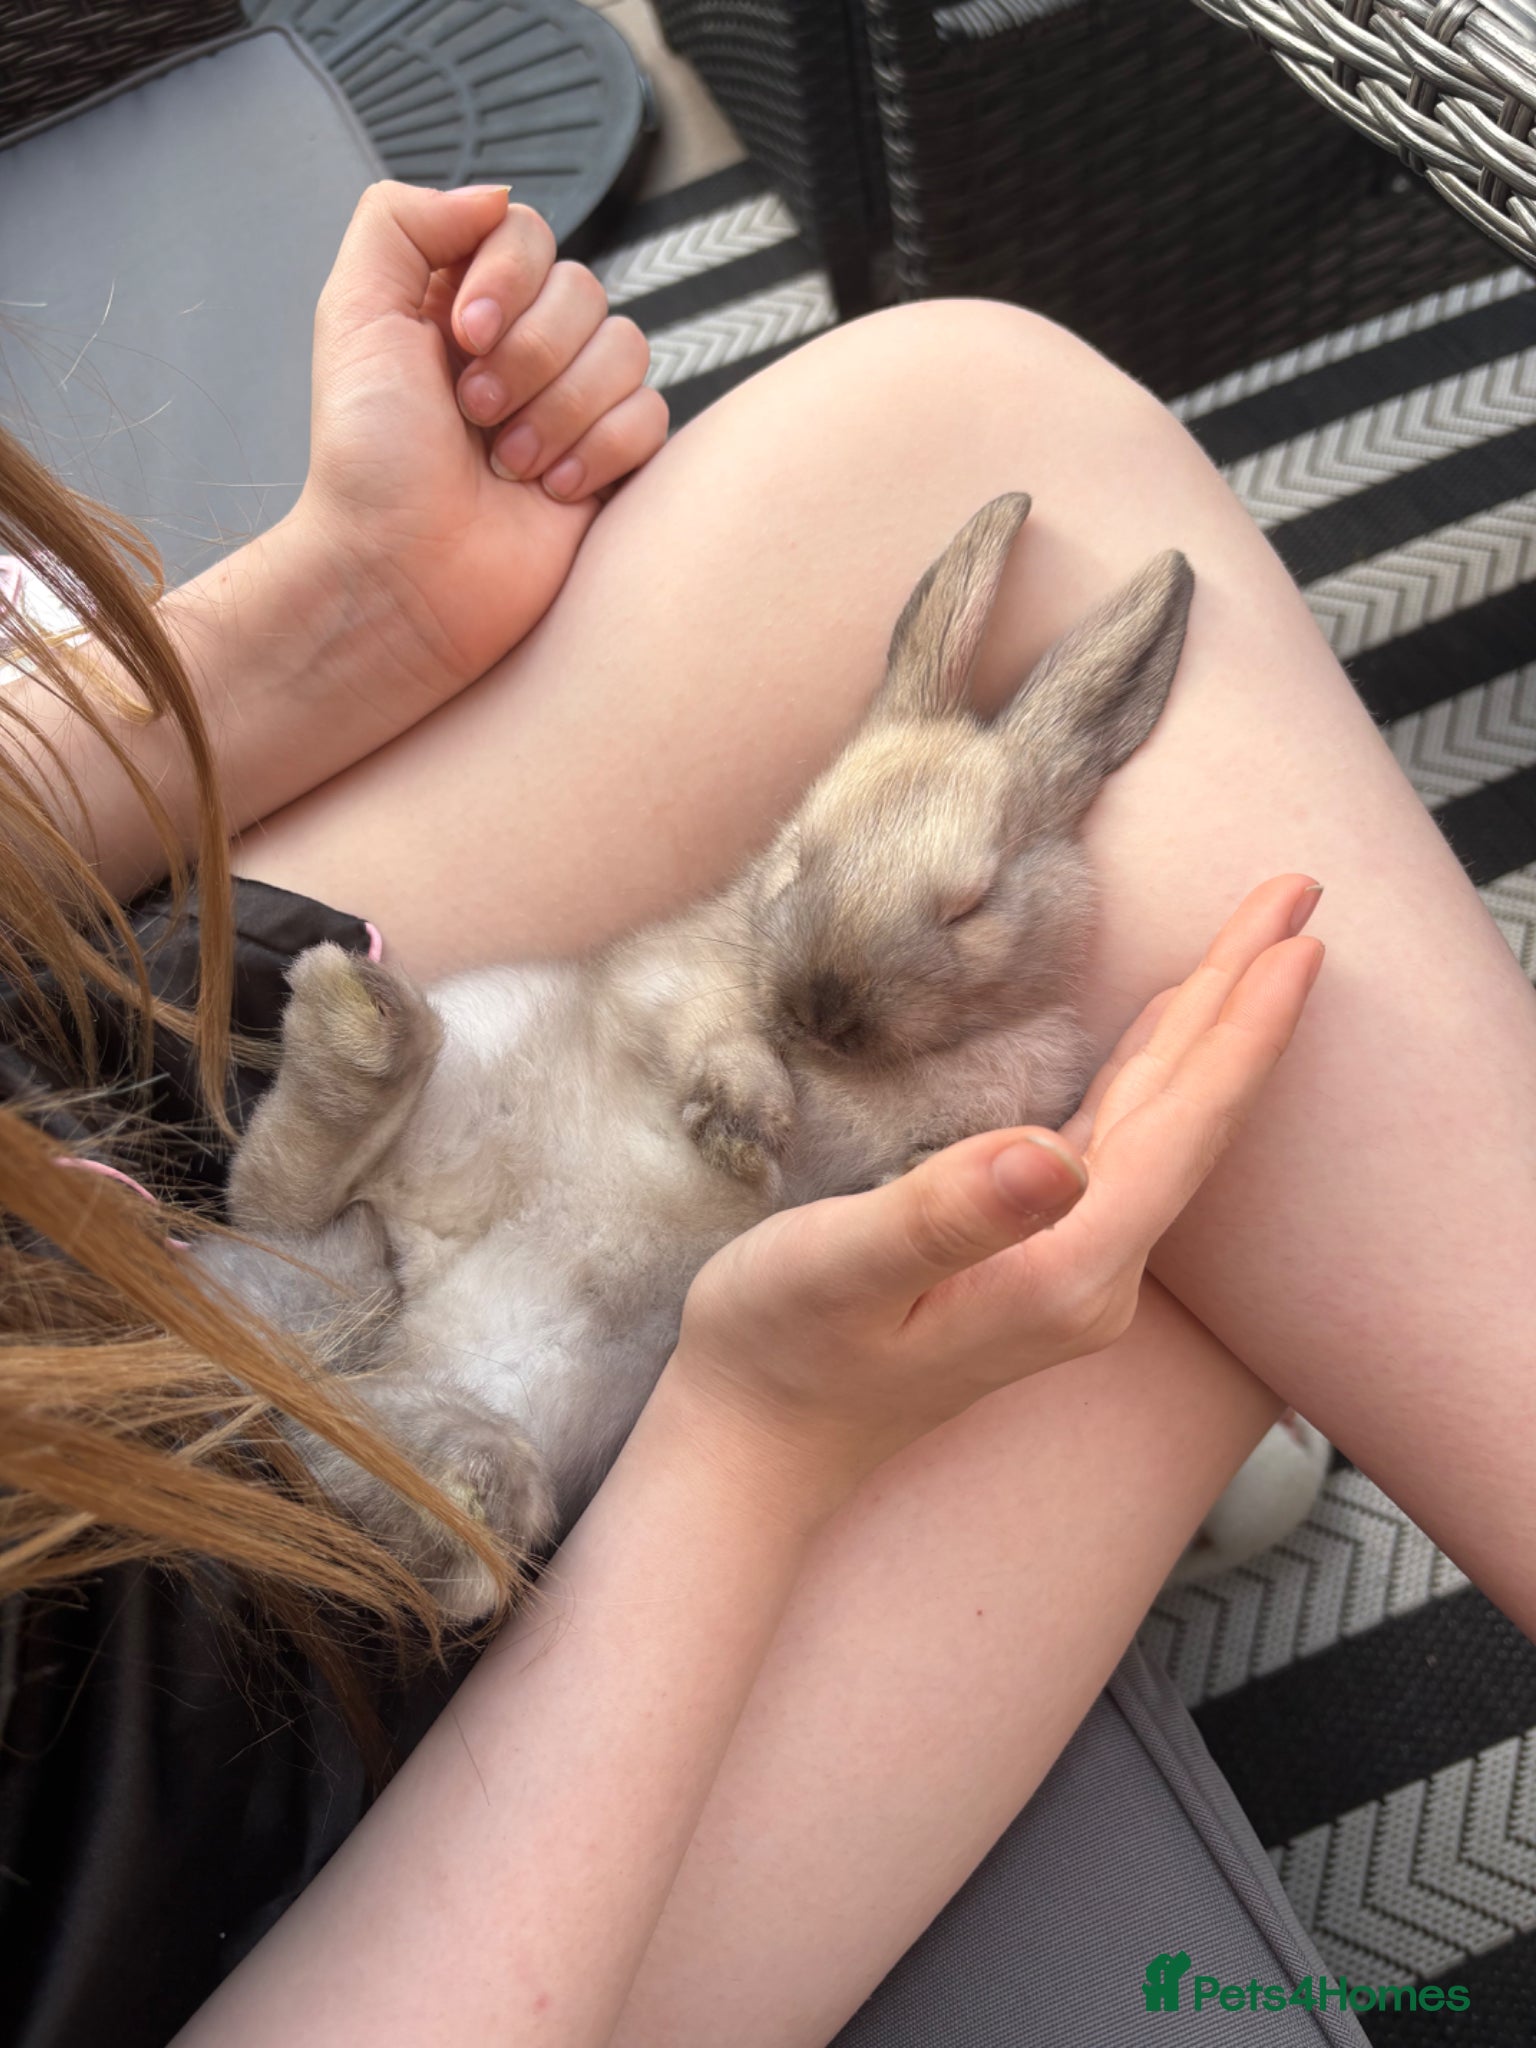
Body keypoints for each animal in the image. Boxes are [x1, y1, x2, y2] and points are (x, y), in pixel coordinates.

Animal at [194, 494, 1194, 1617]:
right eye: (799, 856)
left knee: (368, 1457)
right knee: (277, 1189)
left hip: (422, 1379)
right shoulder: (675, 988)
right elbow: (709, 1036)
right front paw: (746, 1125)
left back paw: (454, 1491)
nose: (818, 1009)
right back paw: (359, 1026)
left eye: (971, 906)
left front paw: (875, 1164)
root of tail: (405, 1324)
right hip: (454, 1088)